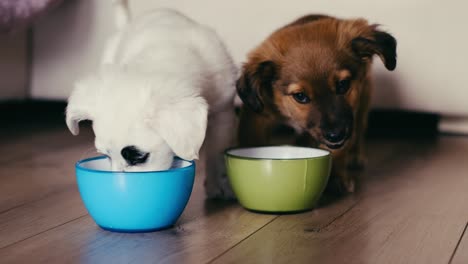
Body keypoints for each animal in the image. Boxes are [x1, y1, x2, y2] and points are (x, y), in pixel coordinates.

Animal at [66, 2, 238, 198]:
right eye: (107, 156)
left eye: (138, 157)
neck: (167, 48)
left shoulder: (223, 111)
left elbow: (217, 150)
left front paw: (219, 183)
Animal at [238, 14, 394, 193]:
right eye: (300, 96)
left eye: (343, 85)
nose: (336, 135)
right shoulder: (257, 116)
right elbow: (252, 141)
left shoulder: (349, 119)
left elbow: (338, 151)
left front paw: (336, 177)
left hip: (364, 100)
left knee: (360, 129)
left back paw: (355, 156)